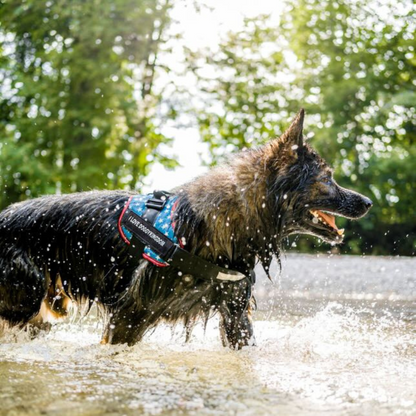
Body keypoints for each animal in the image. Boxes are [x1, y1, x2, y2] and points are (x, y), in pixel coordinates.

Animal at [0, 110, 372, 348]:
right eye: (328, 178)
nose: (368, 202)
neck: (227, 226)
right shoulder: (131, 313)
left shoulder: (235, 314)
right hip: (25, 300)